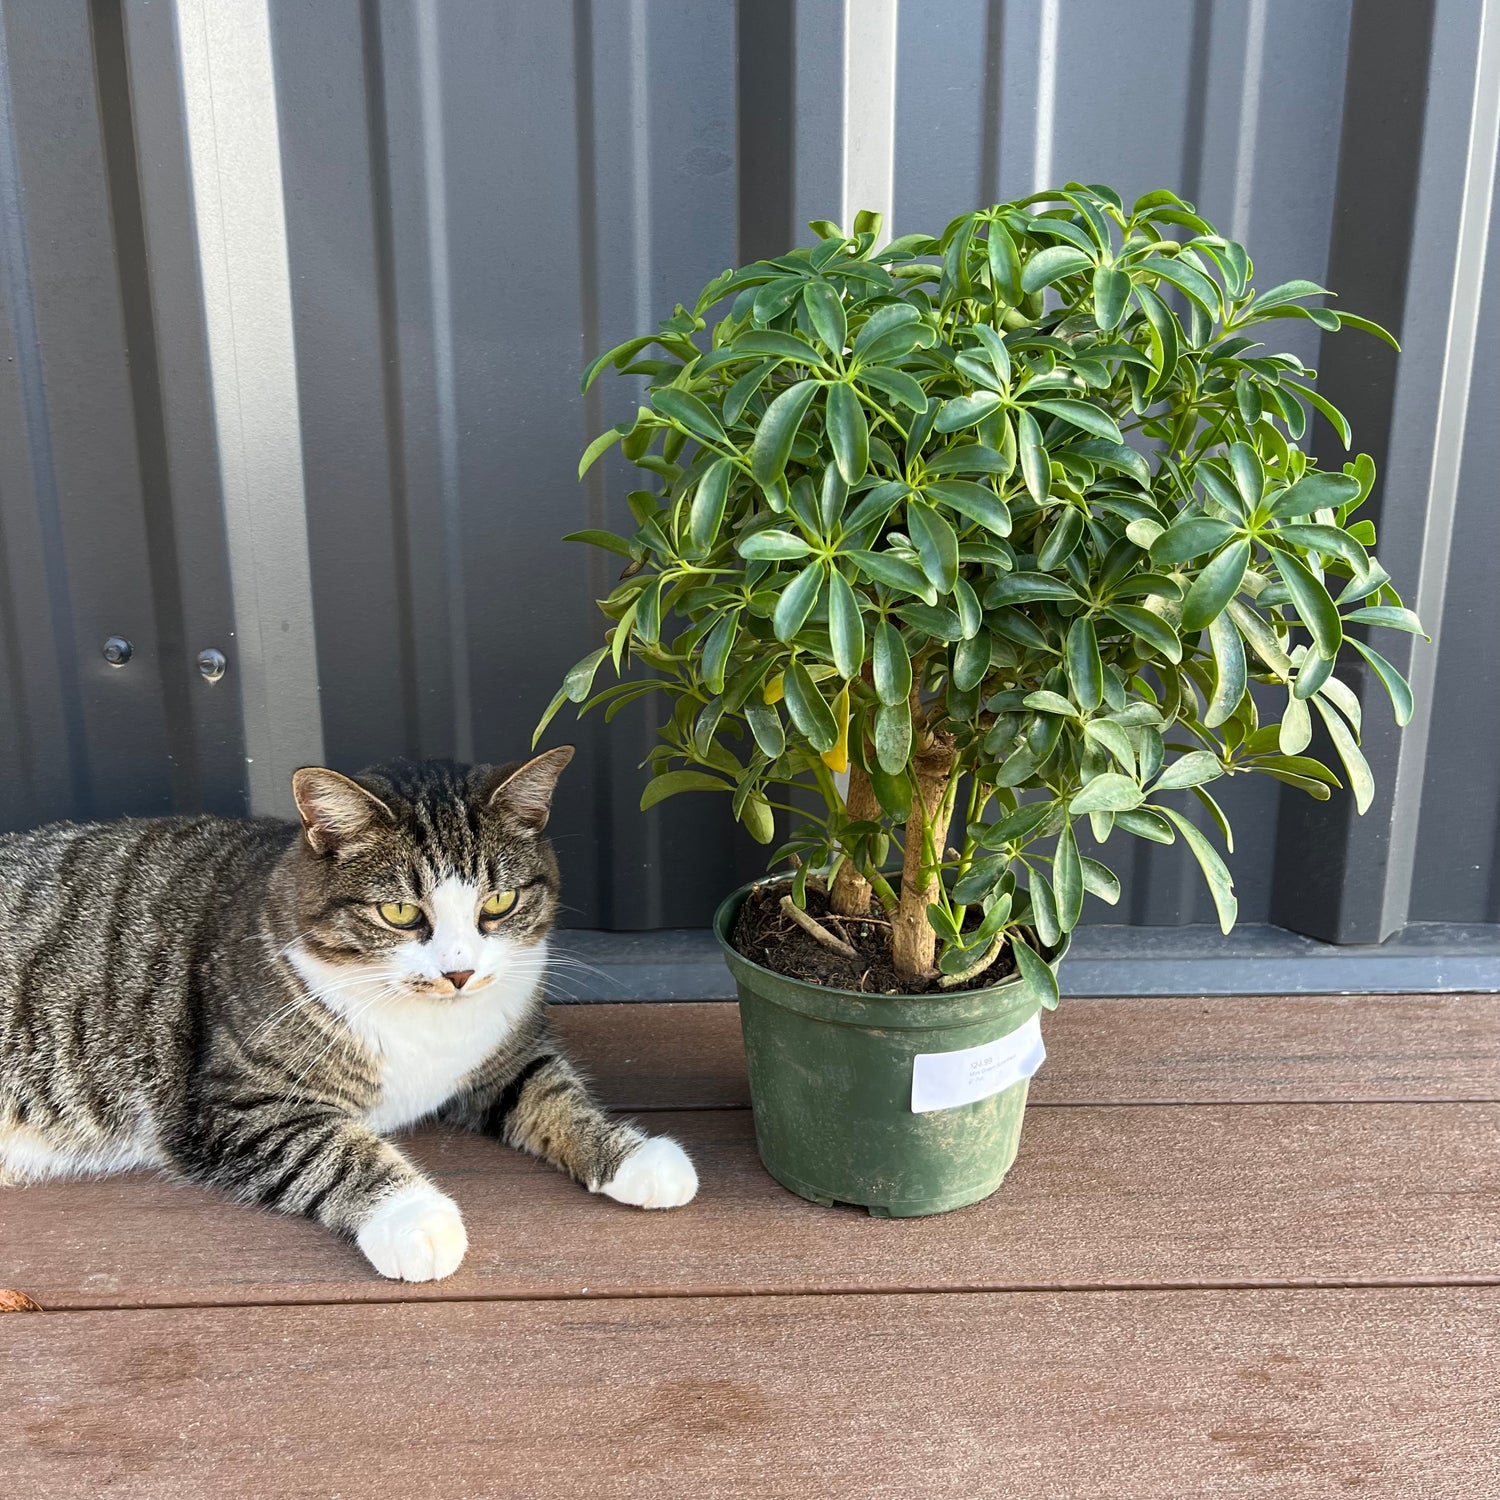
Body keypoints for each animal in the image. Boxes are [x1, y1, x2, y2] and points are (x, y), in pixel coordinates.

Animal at [0, 750, 690, 1278]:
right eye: (400, 913)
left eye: (497, 902)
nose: (459, 973)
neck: (427, 1022)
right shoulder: (237, 1102)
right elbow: (334, 1151)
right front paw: (417, 1218)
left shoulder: (505, 1057)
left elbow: (553, 1094)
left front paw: (635, 1157)